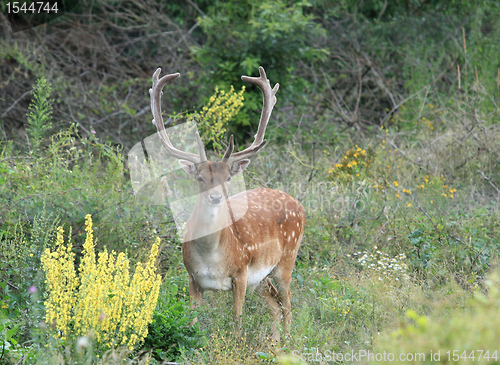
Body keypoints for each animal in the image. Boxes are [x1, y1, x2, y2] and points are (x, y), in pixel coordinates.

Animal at [148, 66, 304, 338]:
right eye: (200, 178)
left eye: (227, 178)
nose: (216, 197)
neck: (212, 258)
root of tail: (299, 205)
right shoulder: (192, 278)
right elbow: (191, 324)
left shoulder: (240, 273)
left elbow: (237, 322)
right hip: (261, 279)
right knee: (275, 305)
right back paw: (274, 343)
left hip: (287, 260)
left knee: (288, 304)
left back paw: (287, 342)